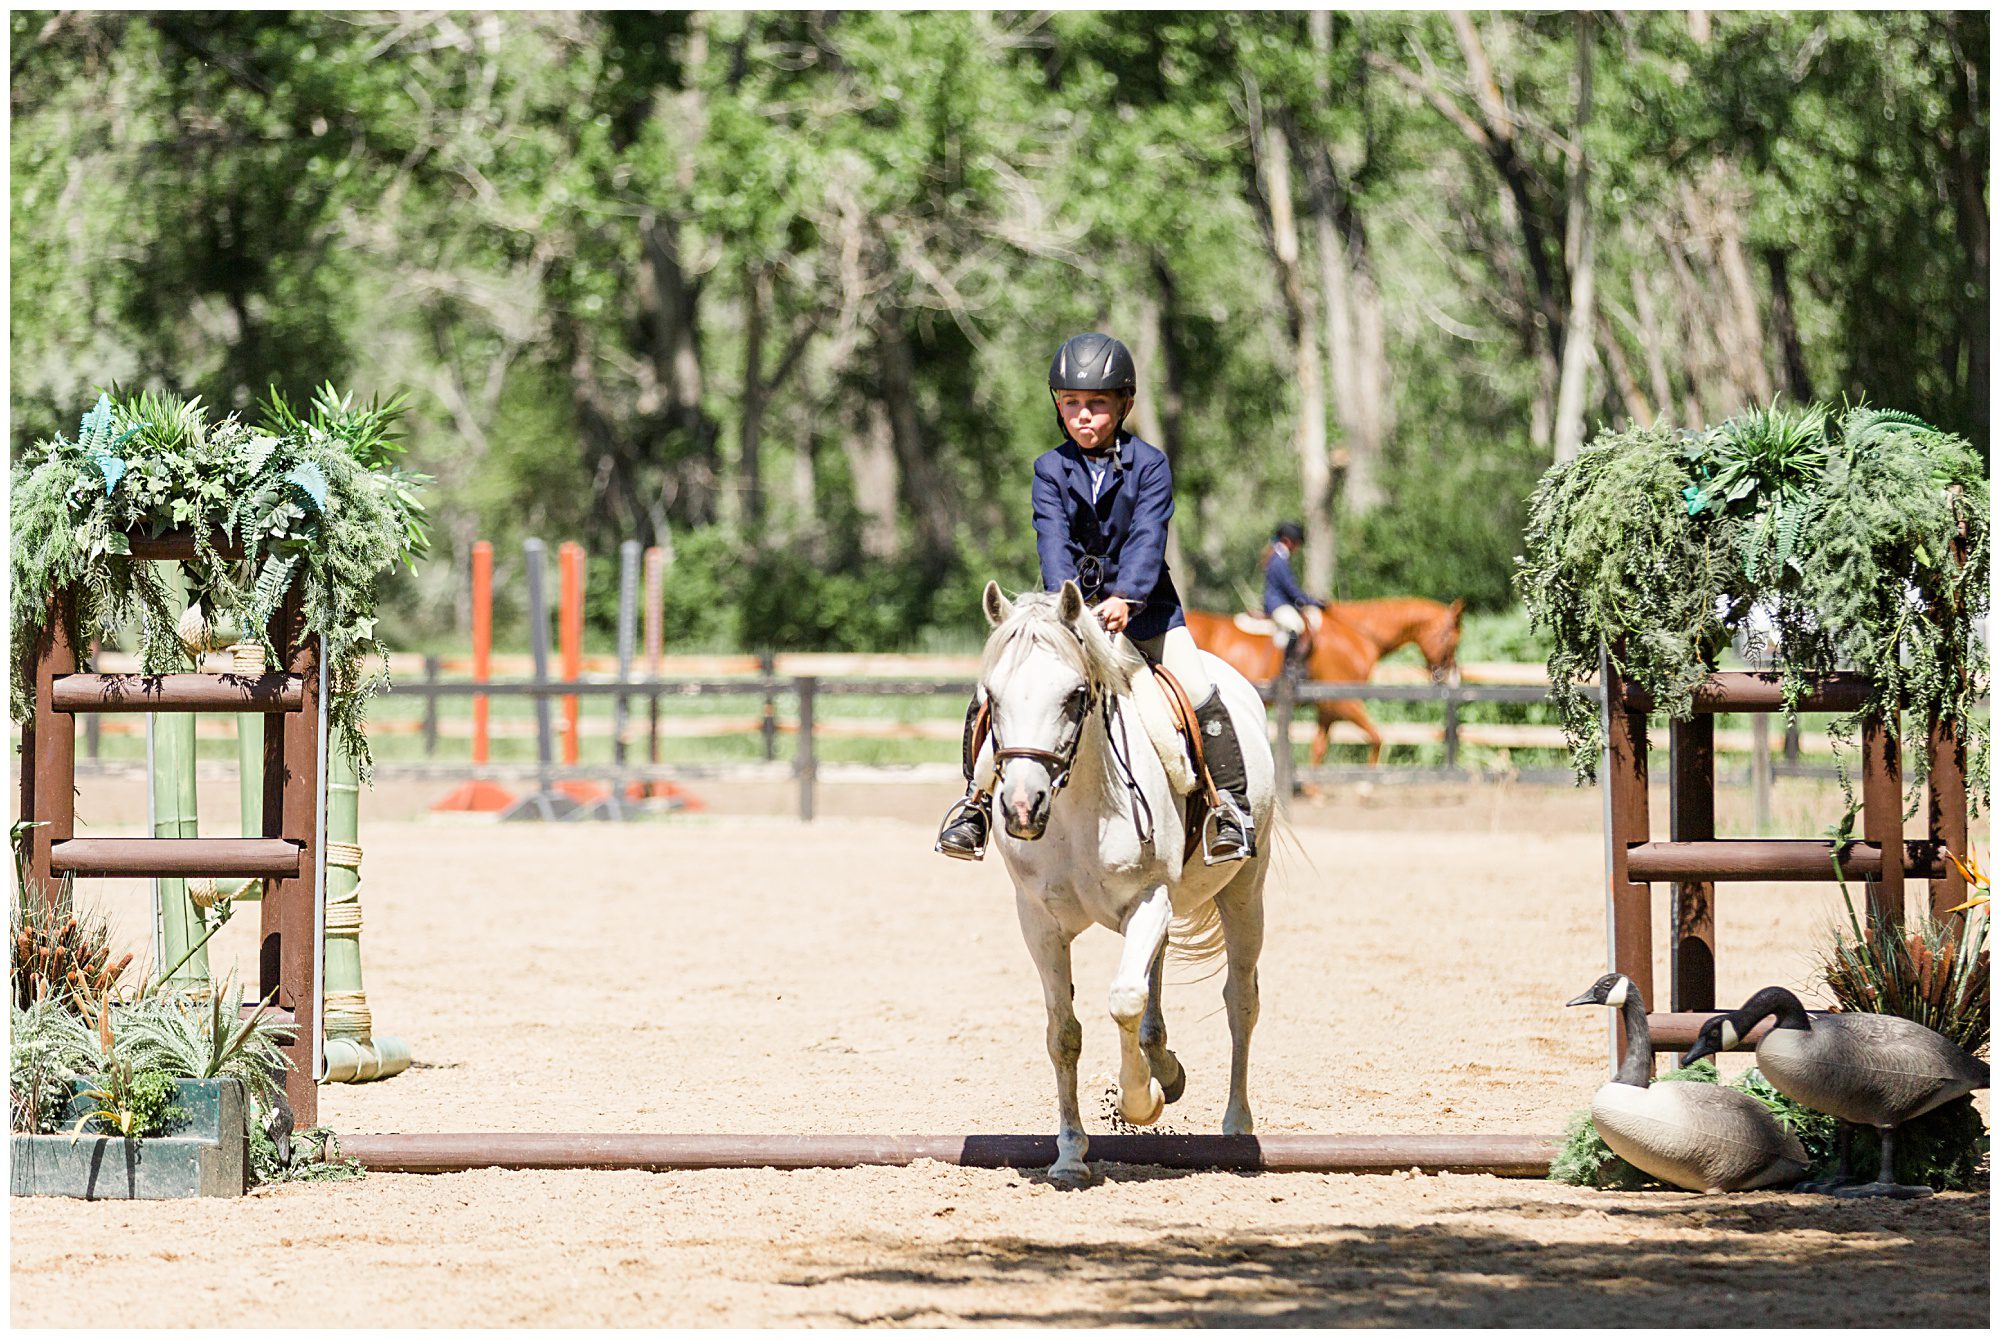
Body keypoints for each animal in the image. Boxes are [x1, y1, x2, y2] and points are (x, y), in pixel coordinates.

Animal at [976, 583, 1272, 1191]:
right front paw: (1069, 1154)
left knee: (1240, 1001)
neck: (1077, 809)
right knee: (1157, 975)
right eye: (991, 695)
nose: (1021, 808)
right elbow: (1063, 1032)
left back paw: (1235, 1126)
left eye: (1074, 696)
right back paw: (1166, 1065)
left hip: (1244, 893)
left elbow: (1124, 999)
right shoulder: (1039, 921)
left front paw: (1142, 1102)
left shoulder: (1148, 900)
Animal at [1184, 603, 1472, 771]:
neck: (1358, 635)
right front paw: (1367, 783)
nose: (1451, 678)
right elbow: (1377, 737)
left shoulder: (1327, 707)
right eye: (1452, 639)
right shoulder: (1344, 701)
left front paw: (1314, 790)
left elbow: (1319, 747)